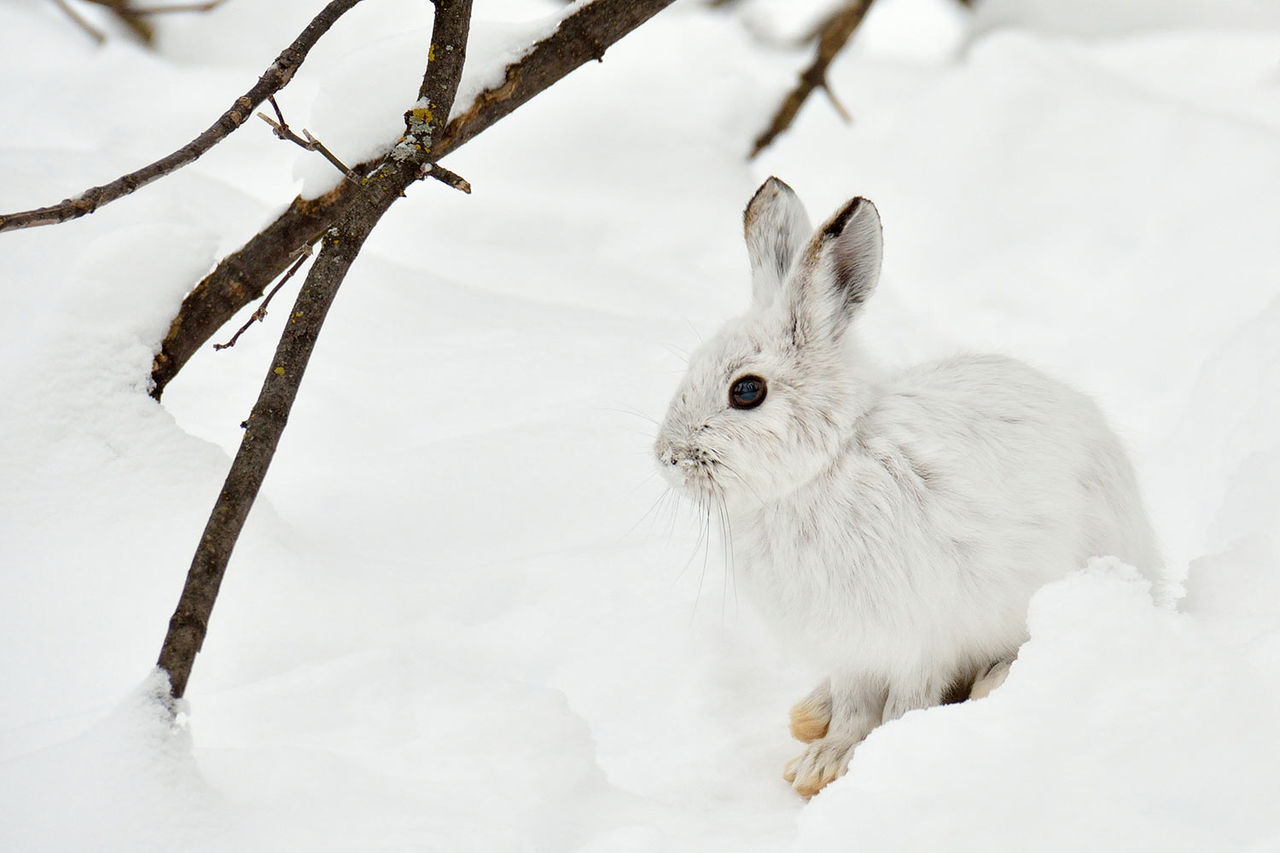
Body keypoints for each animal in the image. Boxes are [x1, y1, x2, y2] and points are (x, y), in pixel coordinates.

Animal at [653, 178, 1162, 798]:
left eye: (747, 391)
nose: (667, 456)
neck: (827, 465)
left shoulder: (919, 639)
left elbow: (906, 704)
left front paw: (859, 762)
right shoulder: (854, 651)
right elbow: (854, 706)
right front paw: (818, 764)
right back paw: (809, 713)